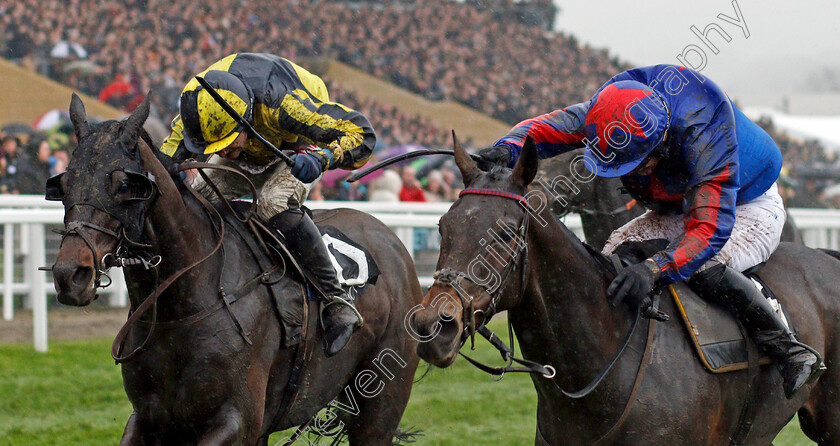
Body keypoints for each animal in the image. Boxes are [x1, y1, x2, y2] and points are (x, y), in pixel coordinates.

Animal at [49, 93, 424, 442]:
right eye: (64, 185)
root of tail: (392, 241)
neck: (182, 307)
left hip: (380, 402)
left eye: (124, 185)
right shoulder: (150, 420)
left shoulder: (237, 421)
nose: (70, 275)